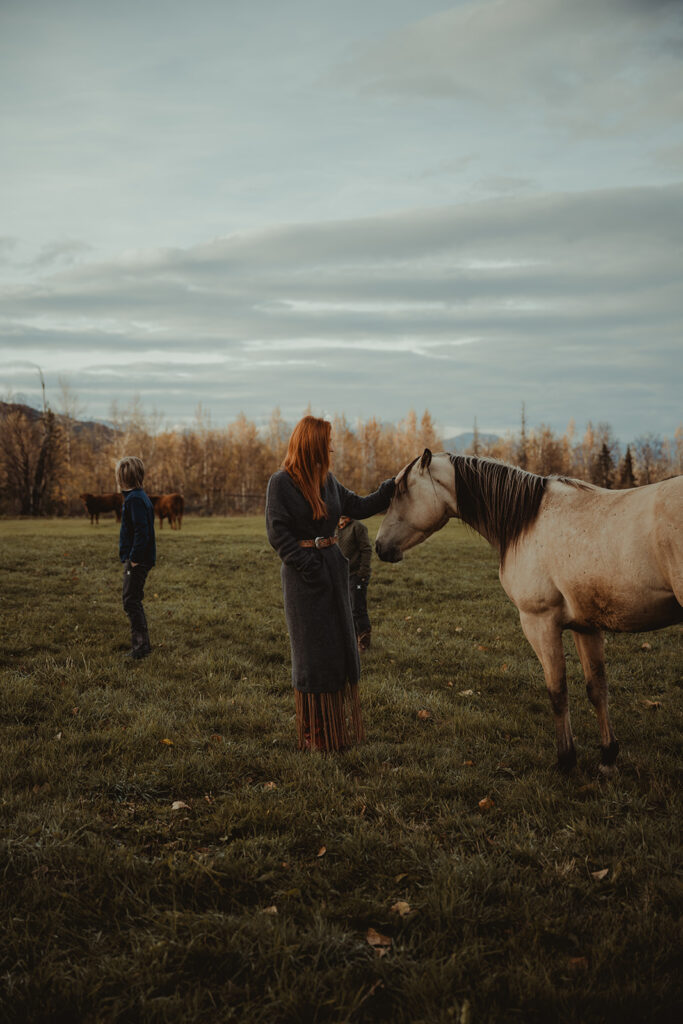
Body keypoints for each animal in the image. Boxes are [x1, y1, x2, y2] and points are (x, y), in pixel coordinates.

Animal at [376, 452, 679, 770]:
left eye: (401, 491)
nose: (379, 546)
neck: (526, 523)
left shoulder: (539, 623)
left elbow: (557, 692)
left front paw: (566, 760)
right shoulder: (586, 626)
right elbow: (597, 688)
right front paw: (608, 756)